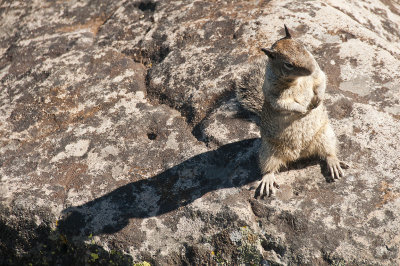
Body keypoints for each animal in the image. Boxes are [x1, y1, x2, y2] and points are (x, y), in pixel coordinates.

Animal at [236, 25, 346, 197]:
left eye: (303, 46)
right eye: (288, 64)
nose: (311, 67)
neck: (296, 80)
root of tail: (299, 155)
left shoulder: (317, 73)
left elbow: (321, 79)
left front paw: (318, 99)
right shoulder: (274, 95)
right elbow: (284, 105)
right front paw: (303, 109)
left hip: (325, 135)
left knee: (329, 152)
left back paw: (334, 162)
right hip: (268, 151)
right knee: (268, 168)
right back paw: (267, 180)